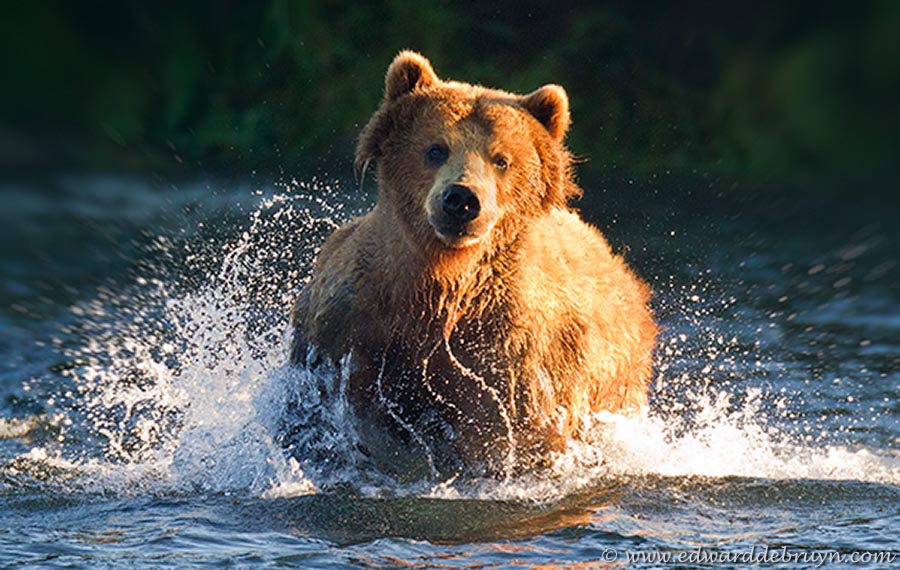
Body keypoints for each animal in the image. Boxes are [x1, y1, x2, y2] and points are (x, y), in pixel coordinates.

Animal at [292, 51, 656, 480]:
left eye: (501, 159)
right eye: (435, 149)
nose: (462, 199)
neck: (441, 277)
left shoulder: (506, 347)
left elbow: (503, 427)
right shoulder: (357, 322)